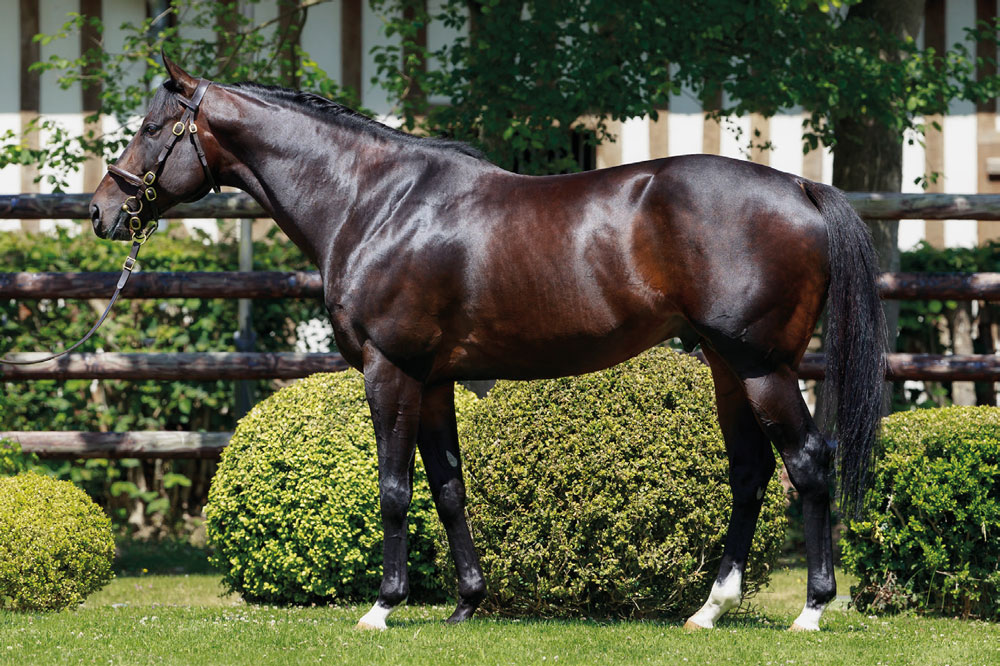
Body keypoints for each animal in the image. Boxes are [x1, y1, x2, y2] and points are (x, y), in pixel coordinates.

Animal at [89, 55, 886, 632]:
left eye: (154, 128)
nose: (102, 210)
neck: (374, 202)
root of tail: (801, 190)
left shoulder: (389, 370)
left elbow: (394, 487)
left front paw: (382, 607)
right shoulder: (434, 378)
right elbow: (447, 487)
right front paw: (466, 602)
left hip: (763, 367)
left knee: (808, 464)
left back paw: (812, 610)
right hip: (728, 366)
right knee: (751, 472)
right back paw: (709, 611)